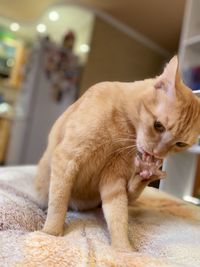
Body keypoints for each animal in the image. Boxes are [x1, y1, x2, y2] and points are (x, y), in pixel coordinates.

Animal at [35, 56, 200, 251]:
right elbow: (58, 202)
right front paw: (51, 233)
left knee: (131, 193)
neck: (124, 126)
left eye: (180, 144)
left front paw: (124, 249)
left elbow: (118, 214)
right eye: (158, 126)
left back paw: (147, 174)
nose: (158, 153)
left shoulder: (113, 178)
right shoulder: (67, 159)